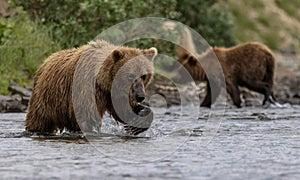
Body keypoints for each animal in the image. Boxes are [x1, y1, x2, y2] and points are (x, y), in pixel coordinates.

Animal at [24, 39, 158, 135]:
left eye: (144, 76)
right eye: (130, 76)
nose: (140, 96)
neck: (104, 81)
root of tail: (45, 61)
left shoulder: (114, 94)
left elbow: (123, 110)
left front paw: (138, 120)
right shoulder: (88, 88)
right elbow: (87, 114)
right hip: (45, 99)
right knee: (38, 120)